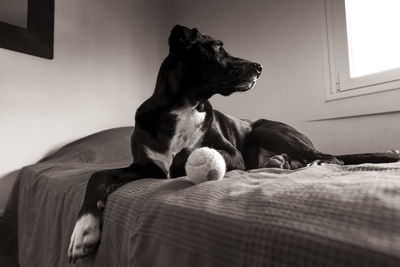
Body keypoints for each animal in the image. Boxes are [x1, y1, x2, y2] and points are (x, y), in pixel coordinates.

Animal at [67, 25, 398, 264]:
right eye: (217, 47)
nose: (260, 67)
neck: (183, 105)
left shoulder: (233, 155)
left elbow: (187, 153)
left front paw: (182, 164)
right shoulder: (144, 167)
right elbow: (98, 175)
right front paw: (84, 230)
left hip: (265, 129)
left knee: (329, 157)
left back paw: (305, 162)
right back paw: (281, 163)